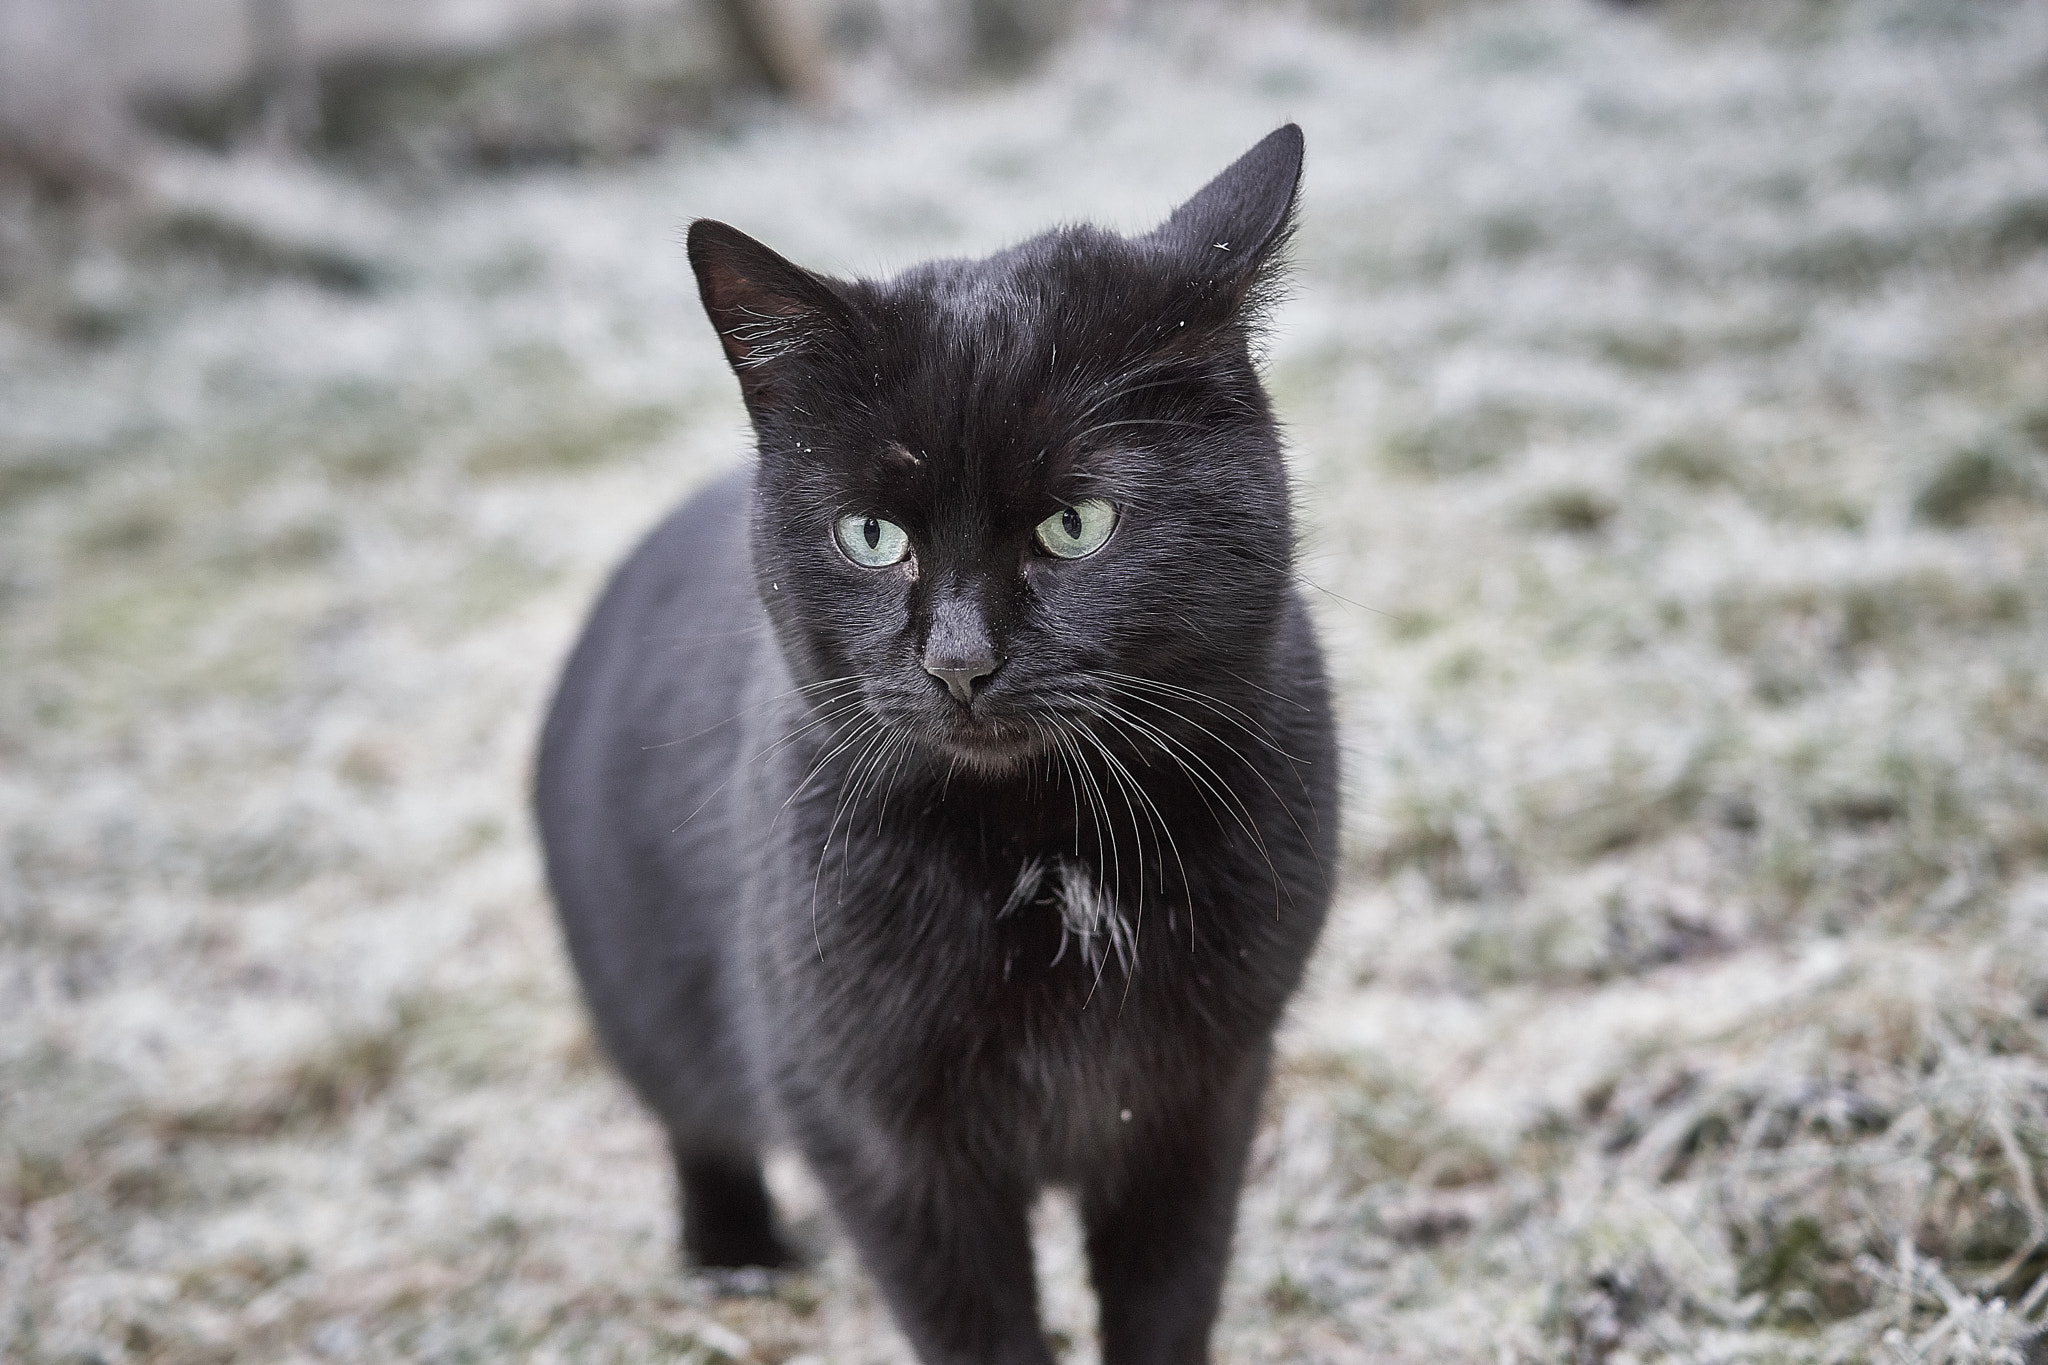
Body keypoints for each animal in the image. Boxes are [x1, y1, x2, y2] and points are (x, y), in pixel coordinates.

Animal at [536, 127, 1335, 1365]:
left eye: (1076, 523)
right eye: (870, 537)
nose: (958, 662)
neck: (1045, 855)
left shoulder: (1193, 1107)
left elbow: (1166, 1307)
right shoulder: (881, 1146)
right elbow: (978, 1332)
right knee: (695, 1125)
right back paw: (734, 1260)